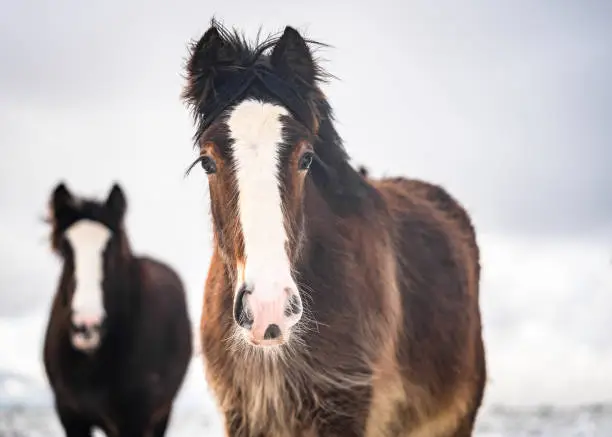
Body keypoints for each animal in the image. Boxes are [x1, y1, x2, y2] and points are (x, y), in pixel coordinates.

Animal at [43, 182, 191, 434]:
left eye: (110, 249)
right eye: (64, 249)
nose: (87, 325)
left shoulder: (135, 420)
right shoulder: (70, 415)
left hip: (162, 413)